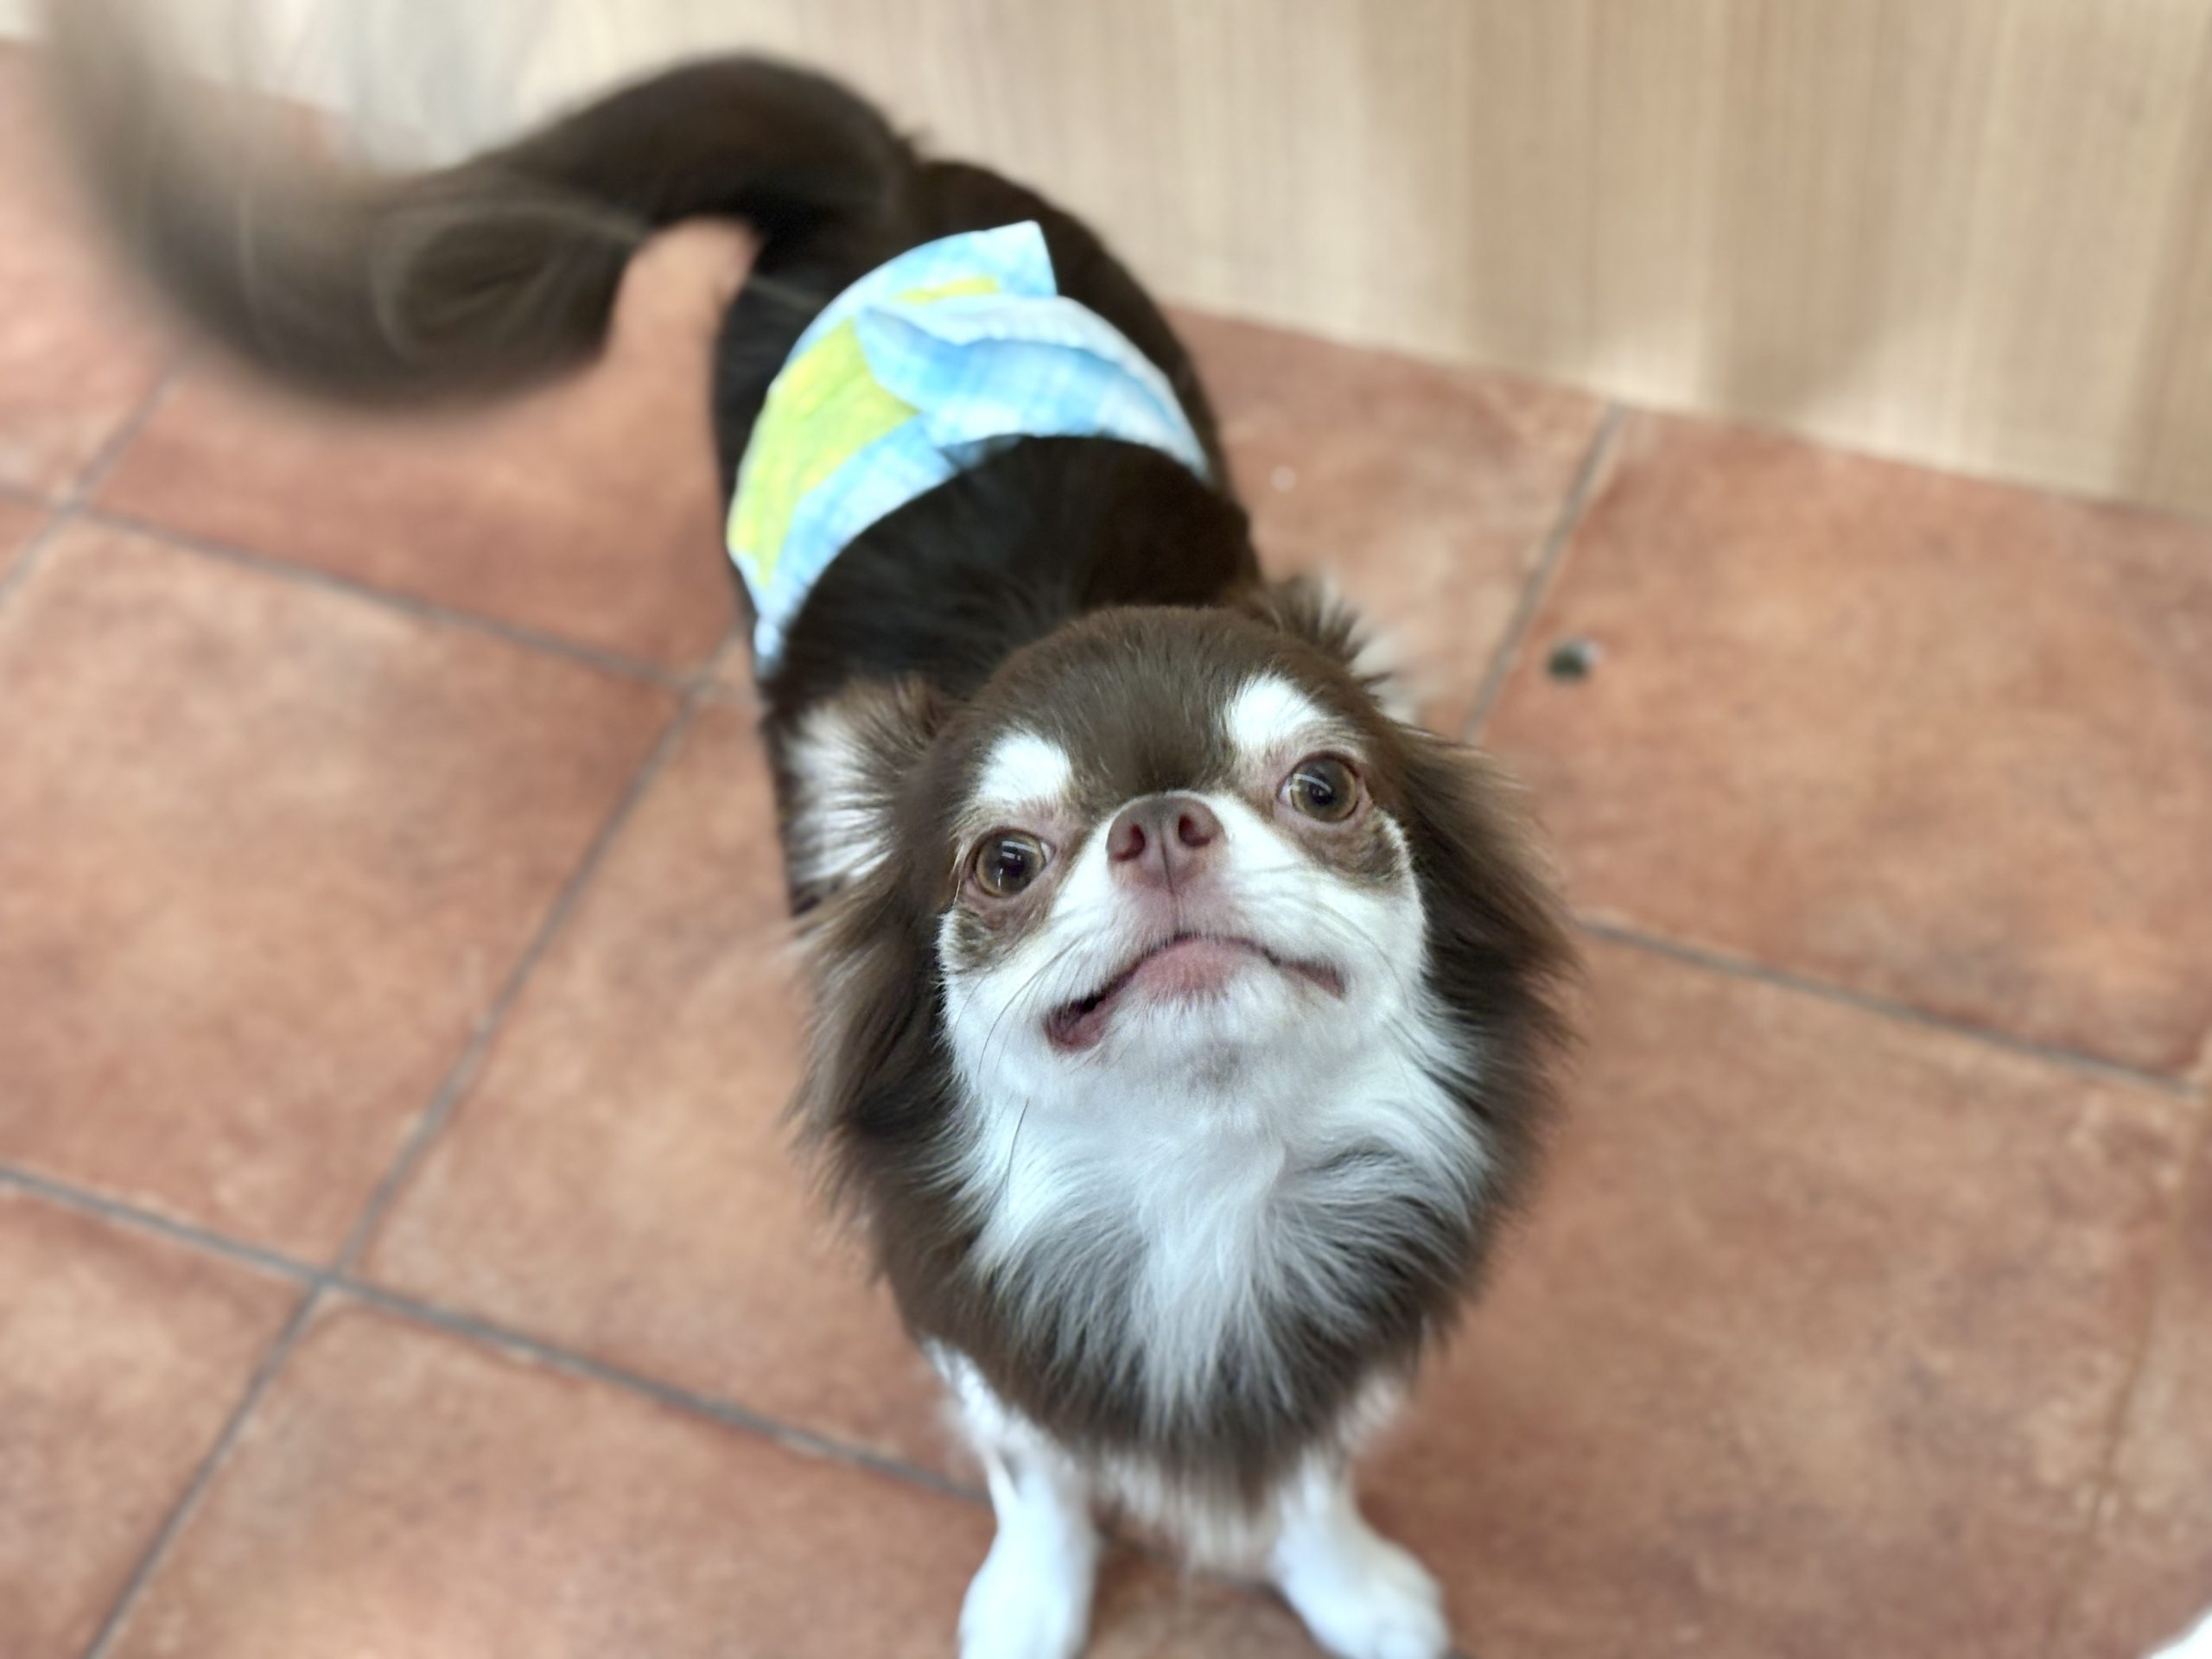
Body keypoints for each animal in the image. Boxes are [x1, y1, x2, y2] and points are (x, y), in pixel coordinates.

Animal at [49, 14, 1571, 1657]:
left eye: (1326, 789)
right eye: (1003, 863)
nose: (1162, 824)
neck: (1200, 1182)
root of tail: (888, 168)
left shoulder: (1350, 1318)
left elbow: (1313, 1469)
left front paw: (1349, 1585)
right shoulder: (971, 1326)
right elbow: (1037, 1472)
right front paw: (1033, 1605)